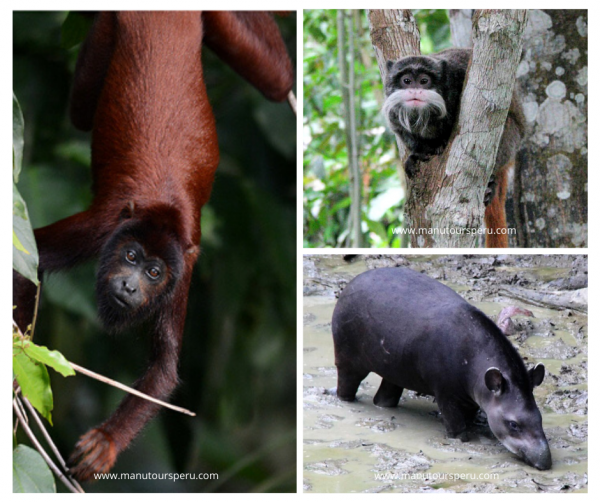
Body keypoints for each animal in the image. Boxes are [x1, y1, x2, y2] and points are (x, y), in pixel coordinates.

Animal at [12, 12, 294, 482]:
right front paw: (17, 367)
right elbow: (28, 262)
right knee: (80, 113)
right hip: (113, 26)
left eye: (153, 272)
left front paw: (106, 443)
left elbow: (163, 369)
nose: (128, 286)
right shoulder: (102, 229)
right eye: (130, 255)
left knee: (277, 78)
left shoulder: (184, 268)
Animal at [382, 48, 524, 248]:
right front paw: (418, 154)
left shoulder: (459, 75)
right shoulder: (394, 113)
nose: (415, 90)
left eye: (424, 81)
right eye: (406, 80)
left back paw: (490, 187)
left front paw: (440, 144)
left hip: (512, 140)